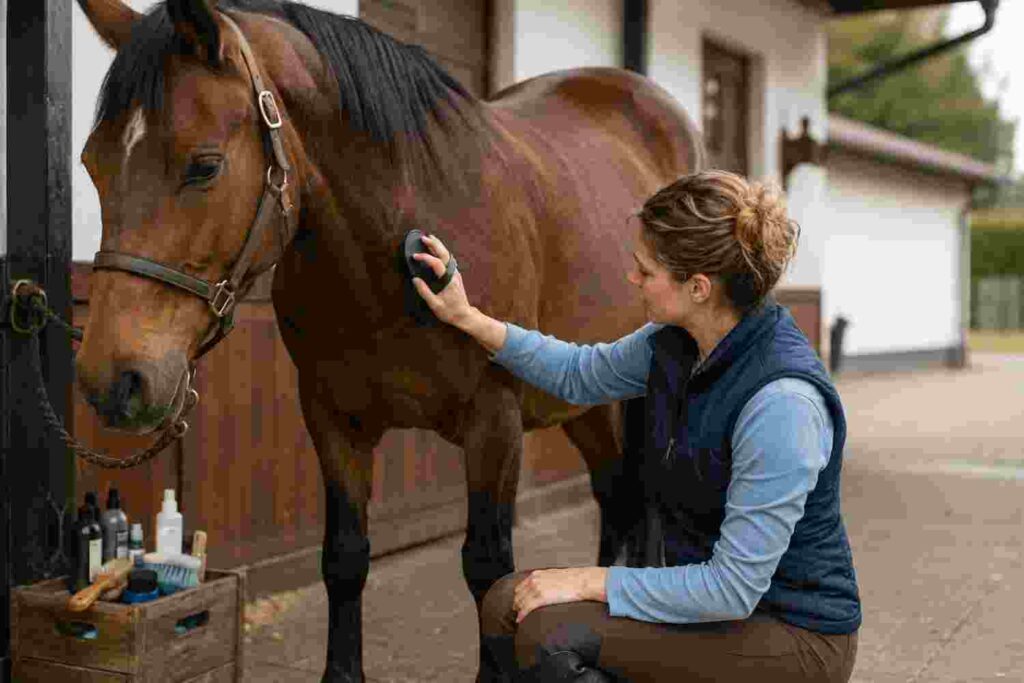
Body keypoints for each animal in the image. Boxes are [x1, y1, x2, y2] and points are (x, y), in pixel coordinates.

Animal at [74, 1, 704, 680]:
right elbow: (345, 557)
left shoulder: (495, 421)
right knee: (615, 496)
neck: (396, 236)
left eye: (205, 165)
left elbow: (488, 569)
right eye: (91, 164)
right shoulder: (333, 418)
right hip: (583, 395)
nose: (113, 379)